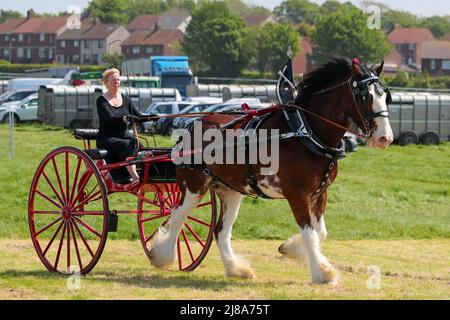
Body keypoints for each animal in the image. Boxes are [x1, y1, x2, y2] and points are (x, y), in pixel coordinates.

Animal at [147, 58, 390, 284]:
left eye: (385, 95)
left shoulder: (320, 193)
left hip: (230, 191)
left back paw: (236, 269)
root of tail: (193, 124)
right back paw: (161, 255)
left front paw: (292, 249)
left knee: (221, 231)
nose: (384, 138)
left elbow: (320, 232)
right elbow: (310, 234)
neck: (307, 133)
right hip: (194, 186)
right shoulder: (297, 194)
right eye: (365, 96)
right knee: (177, 216)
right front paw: (322, 273)